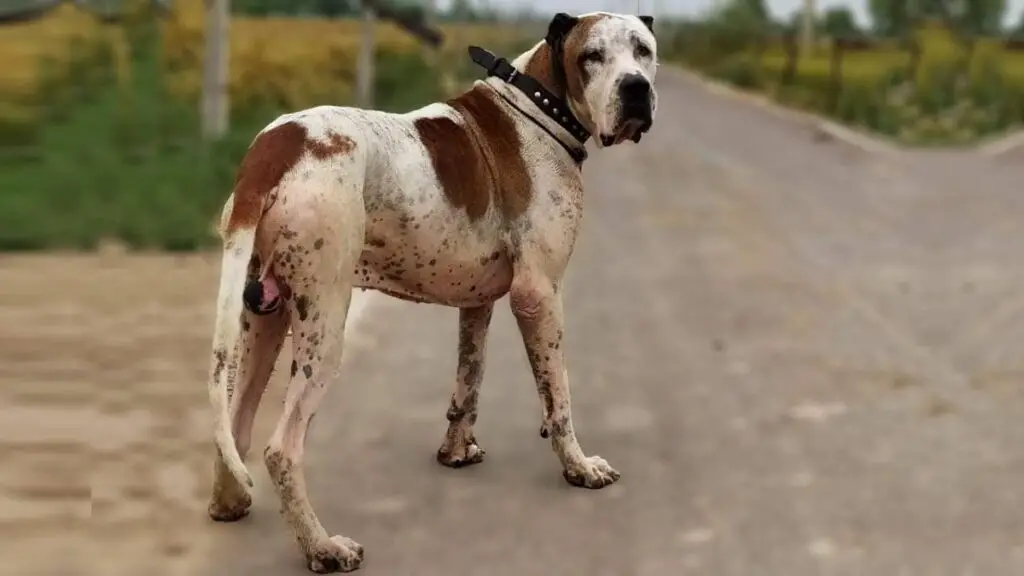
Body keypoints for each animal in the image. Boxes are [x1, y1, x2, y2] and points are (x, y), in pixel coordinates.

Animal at [203, 11, 659, 569]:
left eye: (643, 49)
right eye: (592, 56)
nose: (636, 89)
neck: (540, 105)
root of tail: (275, 147)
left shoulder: (478, 303)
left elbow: (469, 379)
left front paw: (456, 451)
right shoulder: (540, 294)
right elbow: (559, 397)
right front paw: (579, 466)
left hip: (265, 316)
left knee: (235, 423)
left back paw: (230, 502)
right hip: (323, 324)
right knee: (280, 449)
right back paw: (322, 546)